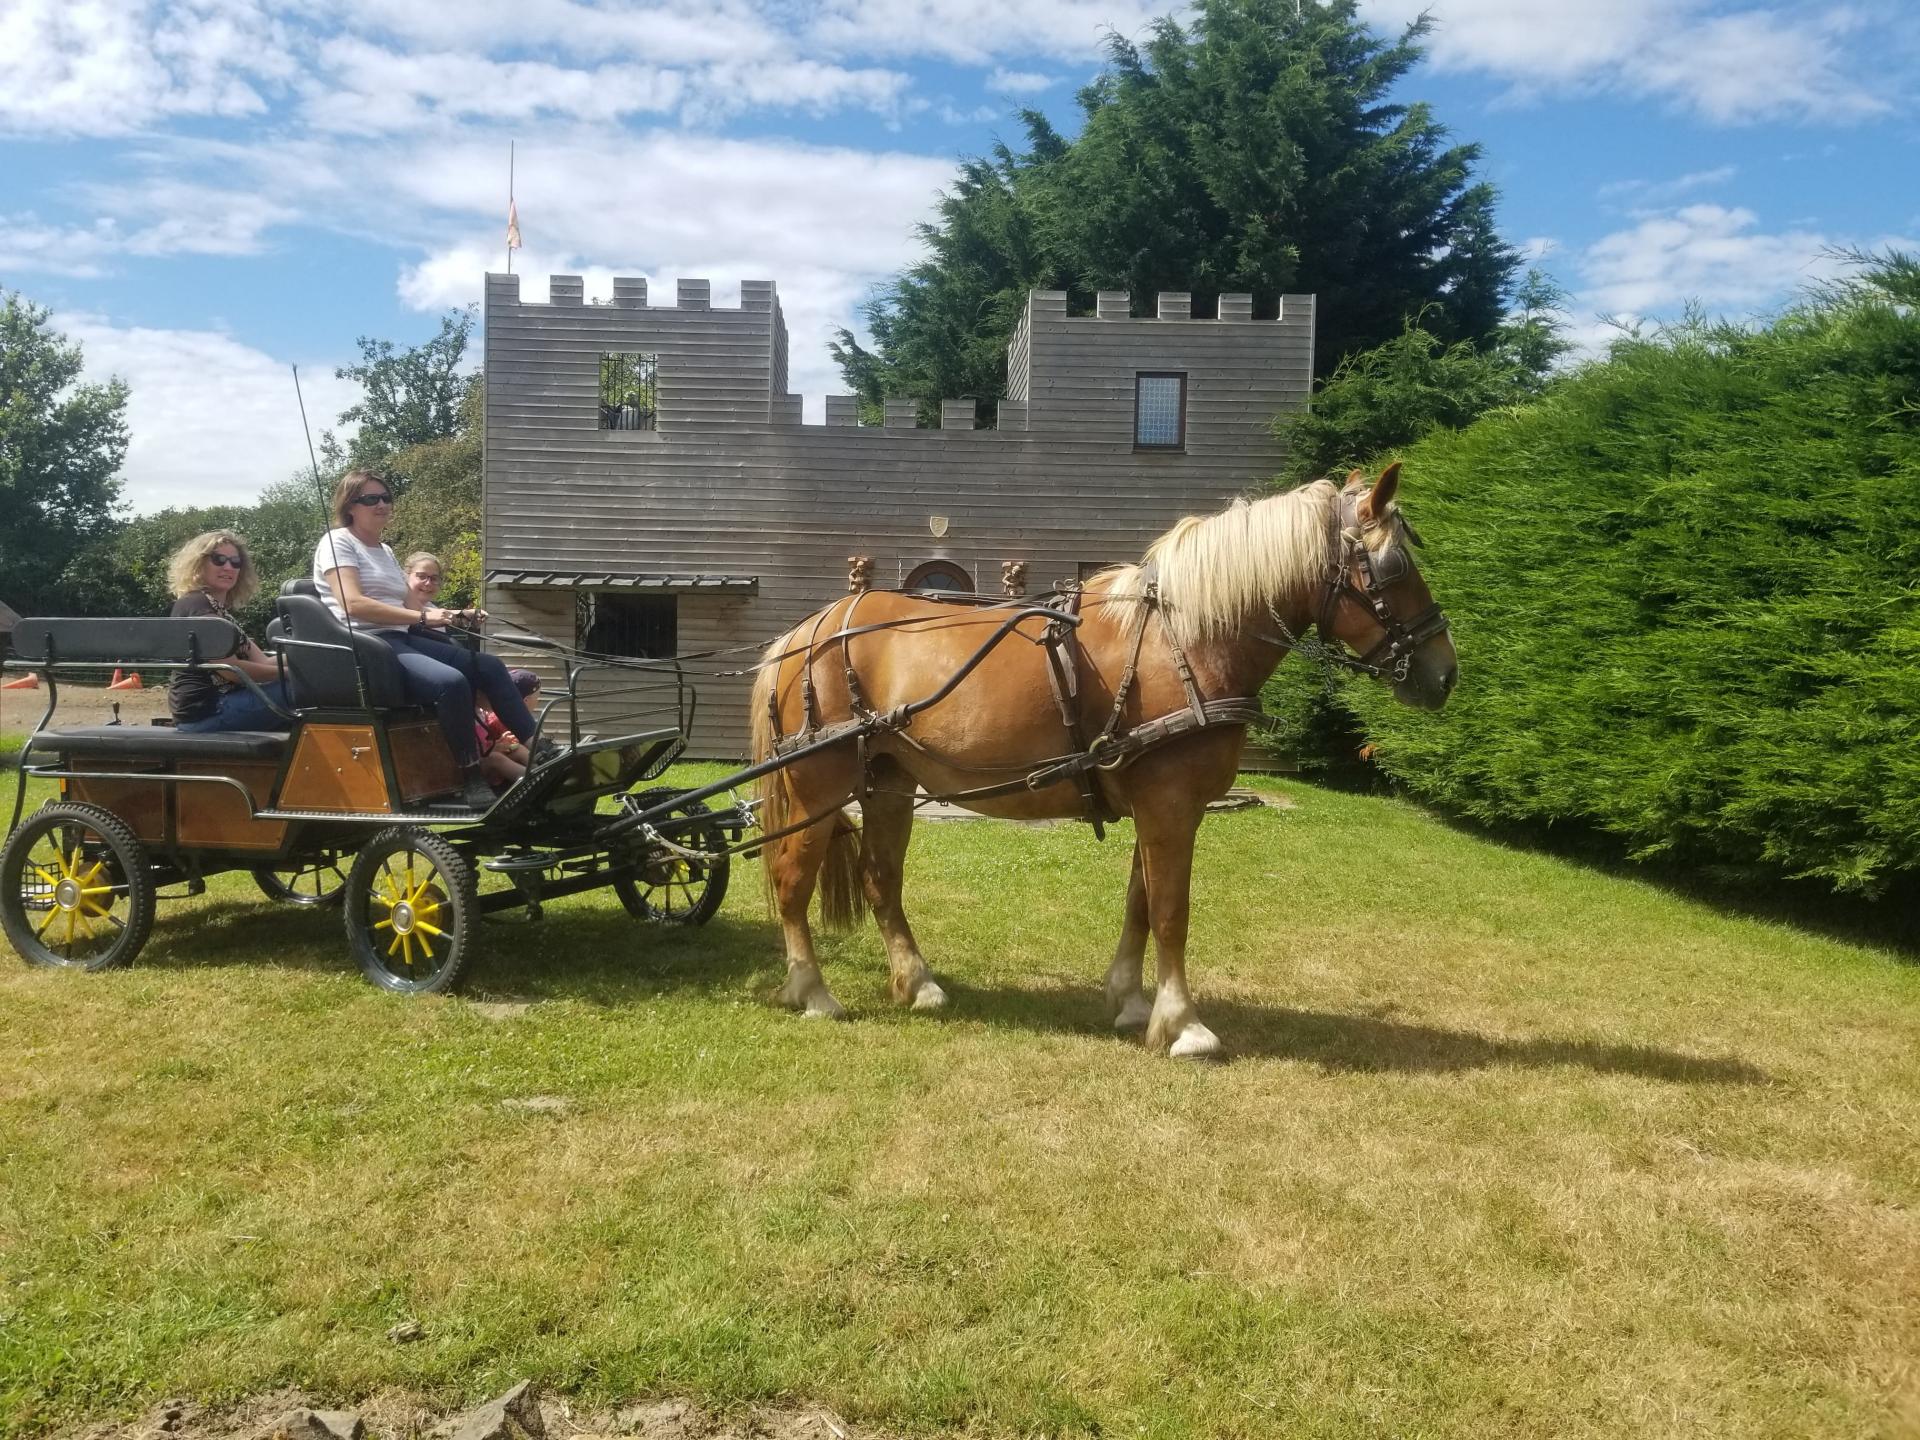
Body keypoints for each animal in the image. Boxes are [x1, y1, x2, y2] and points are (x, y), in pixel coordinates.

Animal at [748, 462, 1451, 1059]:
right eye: (1393, 566)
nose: (1445, 674)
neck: (1186, 639)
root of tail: (806, 632)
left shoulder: (1160, 804)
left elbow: (1141, 902)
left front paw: (1132, 1001)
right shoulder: (1171, 804)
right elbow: (1171, 909)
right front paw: (1184, 1024)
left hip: (890, 783)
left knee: (880, 879)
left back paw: (917, 983)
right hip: (818, 787)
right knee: (791, 880)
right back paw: (812, 990)